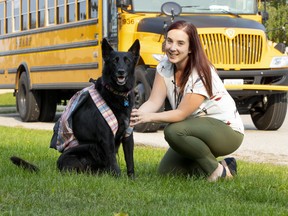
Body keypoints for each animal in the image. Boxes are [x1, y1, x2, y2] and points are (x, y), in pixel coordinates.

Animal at [11, 39, 140, 179]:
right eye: (114, 61)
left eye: (127, 61)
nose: (121, 71)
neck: (117, 94)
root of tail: (56, 168)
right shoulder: (107, 137)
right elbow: (113, 161)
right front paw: (118, 178)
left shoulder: (128, 135)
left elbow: (130, 160)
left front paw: (131, 179)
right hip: (88, 147)